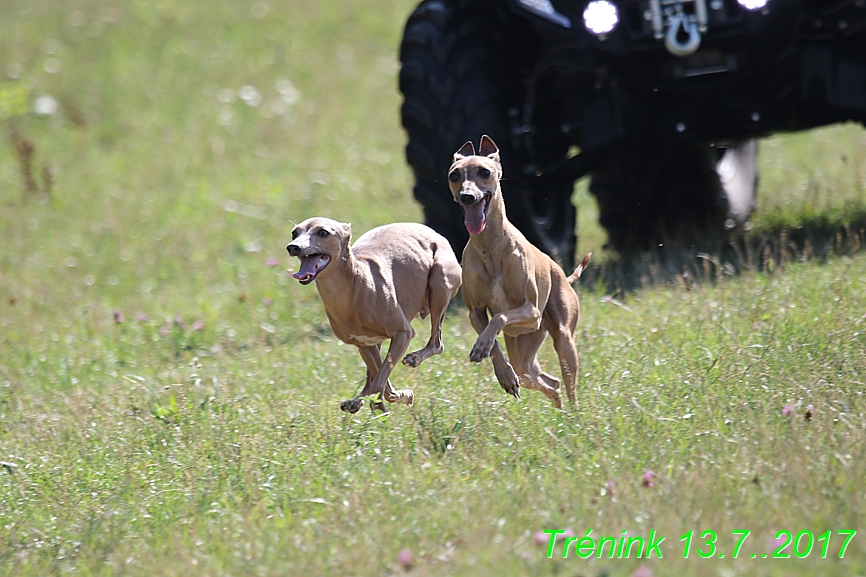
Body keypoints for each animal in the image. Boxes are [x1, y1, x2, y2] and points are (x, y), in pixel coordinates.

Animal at [286, 215, 462, 410]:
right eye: (294, 233)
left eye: (323, 232)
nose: (293, 247)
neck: (354, 285)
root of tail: (434, 232)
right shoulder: (365, 344)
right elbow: (380, 380)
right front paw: (388, 399)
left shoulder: (403, 333)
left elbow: (380, 383)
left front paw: (400, 396)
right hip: (376, 342)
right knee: (374, 374)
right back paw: (359, 400)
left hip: (439, 284)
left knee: (437, 343)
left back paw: (415, 358)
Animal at [448, 136, 592, 408]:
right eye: (454, 175)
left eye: (485, 172)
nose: (467, 196)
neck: (490, 247)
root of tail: (564, 276)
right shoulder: (475, 312)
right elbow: (492, 339)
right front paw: (502, 372)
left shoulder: (532, 311)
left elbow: (499, 316)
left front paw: (483, 345)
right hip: (523, 348)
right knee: (548, 382)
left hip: (562, 339)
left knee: (569, 386)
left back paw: (575, 416)